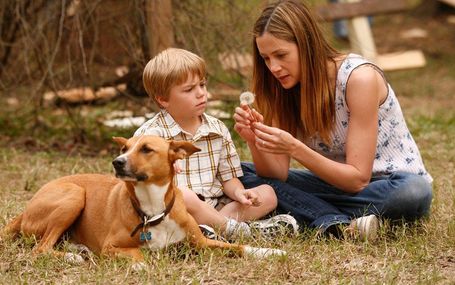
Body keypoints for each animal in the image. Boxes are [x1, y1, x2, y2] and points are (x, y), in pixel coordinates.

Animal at [0, 134, 284, 268]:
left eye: (146, 149)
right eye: (124, 149)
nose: (117, 161)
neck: (153, 209)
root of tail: (24, 210)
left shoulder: (202, 243)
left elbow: (237, 247)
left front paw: (270, 251)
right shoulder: (111, 247)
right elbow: (138, 254)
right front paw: (141, 266)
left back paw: (77, 250)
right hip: (74, 195)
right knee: (41, 248)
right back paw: (73, 256)